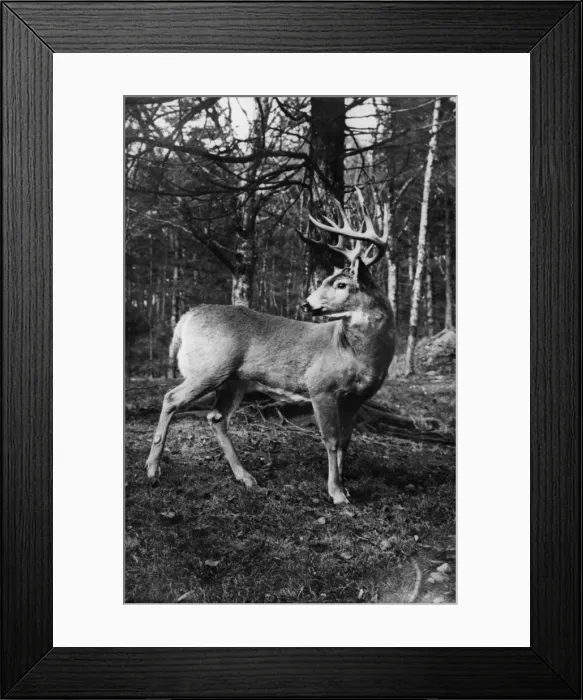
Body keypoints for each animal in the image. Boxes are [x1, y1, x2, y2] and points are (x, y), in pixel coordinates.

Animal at [145, 189, 396, 504]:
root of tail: (186, 318)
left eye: (340, 284)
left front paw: (345, 486)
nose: (307, 303)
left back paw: (246, 477)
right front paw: (337, 492)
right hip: (209, 367)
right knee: (171, 398)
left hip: (235, 380)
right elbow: (331, 439)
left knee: (216, 417)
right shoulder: (320, 386)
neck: (360, 356)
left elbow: (346, 441)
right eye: (327, 280)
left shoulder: (357, 397)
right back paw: (152, 470)